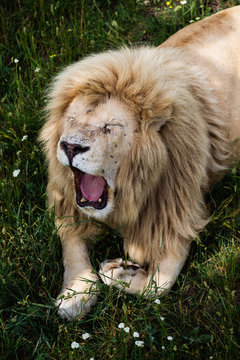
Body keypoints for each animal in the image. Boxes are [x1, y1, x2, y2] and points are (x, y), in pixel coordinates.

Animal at [39, 7, 240, 320]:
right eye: (71, 120)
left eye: (110, 127)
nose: (70, 146)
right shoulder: (67, 202)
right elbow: (72, 247)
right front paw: (76, 294)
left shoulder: (176, 217)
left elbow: (157, 286)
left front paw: (118, 272)